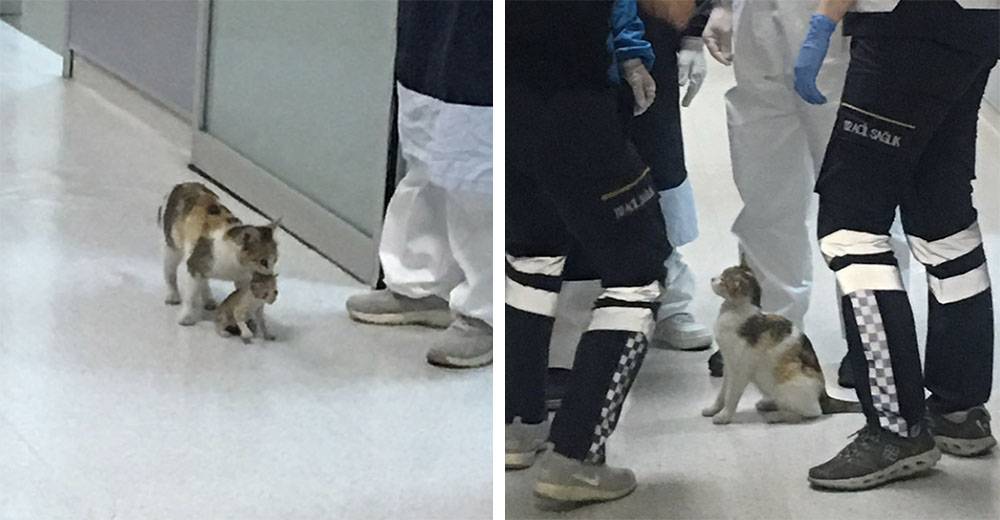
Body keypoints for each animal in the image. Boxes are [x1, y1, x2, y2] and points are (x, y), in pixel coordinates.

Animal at [158, 183, 280, 324]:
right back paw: (172, 295)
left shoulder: (244, 280)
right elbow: (191, 296)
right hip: (173, 246)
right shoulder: (194, 265)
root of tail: (183, 185)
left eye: (275, 260)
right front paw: (187, 317)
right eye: (263, 262)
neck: (236, 266)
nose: (271, 275)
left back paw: (208, 300)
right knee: (170, 272)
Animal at [704, 262, 860, 424]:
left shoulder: (740, 371)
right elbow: (722, 394)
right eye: (721, 275)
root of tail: (824, 395)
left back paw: (776, 415)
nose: (713, 278)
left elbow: (731, 397)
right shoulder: (728, 366)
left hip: (787, 381)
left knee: (813, 412)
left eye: (723, 280)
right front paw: (713, 409)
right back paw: (768, 403)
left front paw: (724, 416)